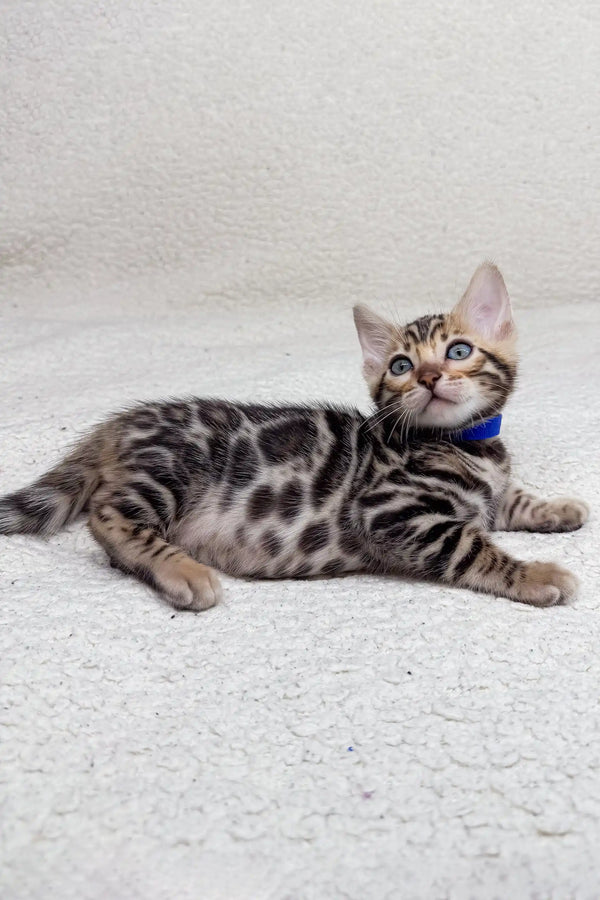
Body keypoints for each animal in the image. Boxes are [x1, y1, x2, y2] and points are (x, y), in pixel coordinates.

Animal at [0, 264, 588, 608]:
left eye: (459, 351)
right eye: (400, 365)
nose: (427, 376)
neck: (466, 442)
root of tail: (123, 422)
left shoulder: (488, 490)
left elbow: (510, 498)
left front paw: (559, 508)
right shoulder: (391, 509)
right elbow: (469, 546)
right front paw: (535, 574)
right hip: (175, 466)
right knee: (108, 516)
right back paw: (182, 571)